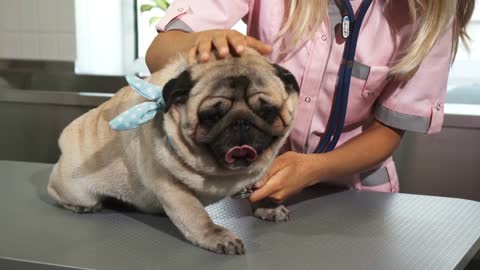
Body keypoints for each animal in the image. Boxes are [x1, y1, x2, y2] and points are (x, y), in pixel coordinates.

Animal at [47, 48, 298, 253]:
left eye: (267, 111)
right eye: (211, 116)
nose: (240, 122)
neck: (221, 173)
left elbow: (259, 189)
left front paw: (267, 206)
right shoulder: (170, 187)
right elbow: (196, 214)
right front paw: (216, 236)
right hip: (75, 189)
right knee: (56, 192)